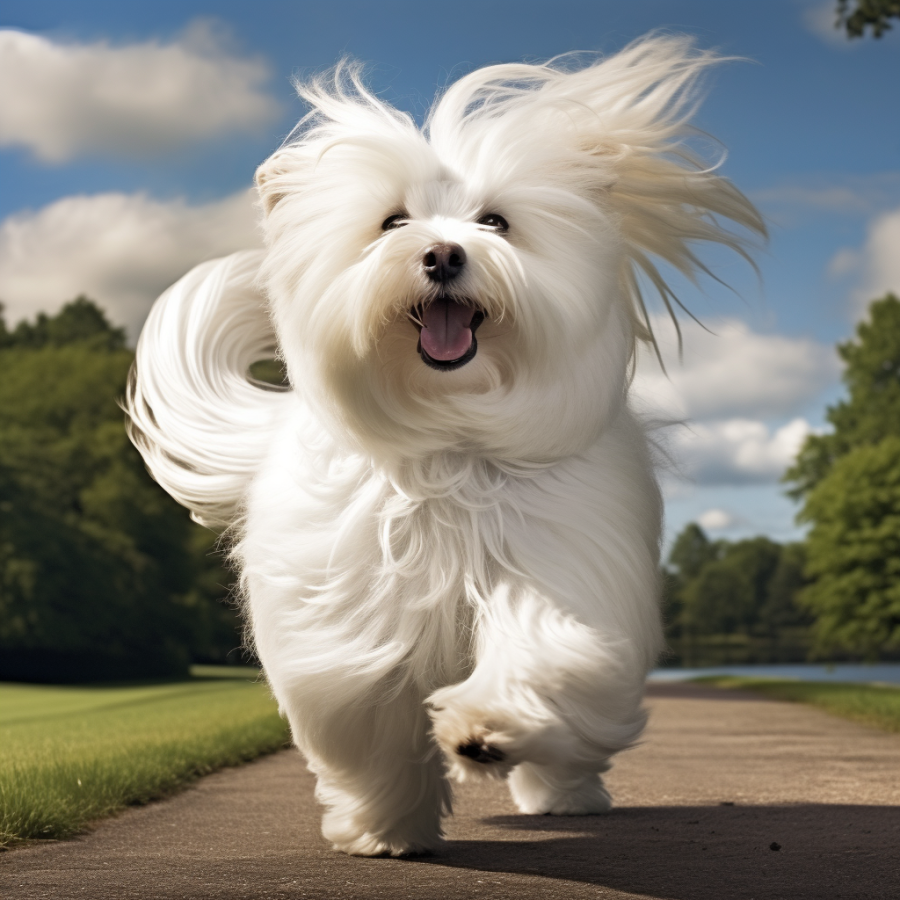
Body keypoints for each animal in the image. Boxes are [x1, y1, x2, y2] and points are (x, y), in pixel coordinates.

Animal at [125, 37, 760, 856]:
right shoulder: (356, 624)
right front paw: (388, 828)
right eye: (392, 221)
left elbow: (540, 650)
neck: (451, 440)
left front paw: (483, 731)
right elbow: (372, 722)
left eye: (496, 221)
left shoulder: (554, 569)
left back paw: (562, 794)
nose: (443, 255)